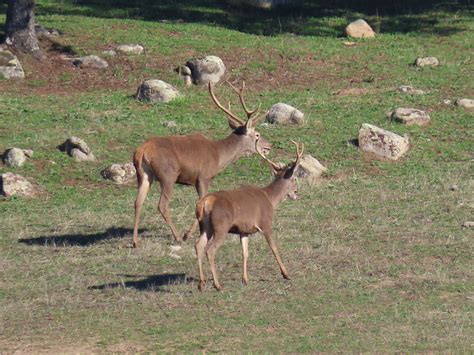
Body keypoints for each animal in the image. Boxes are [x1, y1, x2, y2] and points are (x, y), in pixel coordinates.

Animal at [131, 81, 270, 248]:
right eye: (257, 135)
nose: (269, 146)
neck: (218, 156)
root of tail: (142, 151)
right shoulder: (204, 176)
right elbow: (201, 201)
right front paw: (187, 234)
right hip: (168, 174)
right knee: (162, 204)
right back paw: (178, 237)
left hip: (144, 174)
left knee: (138, 201)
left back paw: (135, 241)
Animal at [195, 140, 304, 290]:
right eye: (293, 179)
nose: (297, 192)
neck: (270, 199)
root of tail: (206, 202)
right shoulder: (265, 223)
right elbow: (274, 247)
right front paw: (286, 274)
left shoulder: (244, 230)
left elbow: (245, 253)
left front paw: (245, 279)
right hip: (221, 226)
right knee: (210, 250)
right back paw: (217, 285)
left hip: (204, 226)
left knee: (198, 245)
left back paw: (201, 283)